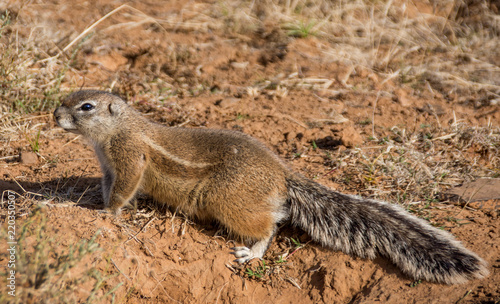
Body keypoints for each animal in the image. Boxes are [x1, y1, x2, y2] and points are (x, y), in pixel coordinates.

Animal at [53, 90, 488, 284]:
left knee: (270, 224)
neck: (117, 129)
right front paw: (94, 204)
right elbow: (109, 186)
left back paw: (253, 252)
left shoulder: (128, 159)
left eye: (86, 106)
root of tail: (282, 174)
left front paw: (107, 214)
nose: (55, 114)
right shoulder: (108, 166)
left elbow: (125, 189)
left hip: (226, 199)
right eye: (69, 96)